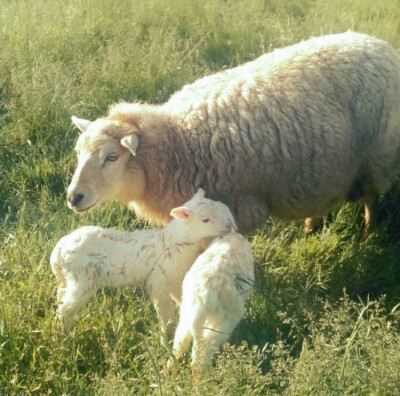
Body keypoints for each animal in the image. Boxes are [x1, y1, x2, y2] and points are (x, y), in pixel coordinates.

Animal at [50, 189, 238, 338]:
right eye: (206, 220)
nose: (229, 227)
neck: (175, 242)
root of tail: (57, 252)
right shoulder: (159, 282)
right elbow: (166, 314)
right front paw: (167, 338)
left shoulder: (175, 280)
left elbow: (181, 299)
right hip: (83, 278)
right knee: (65, 310)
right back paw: (64, 338)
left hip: (71, 278)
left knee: (61, 294)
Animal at [67, 32, 400, 235]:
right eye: (79, 153)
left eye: (112, 157)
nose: (73, 197)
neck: (178, 141)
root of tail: (375, 42)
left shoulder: (238, 209)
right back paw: (310, 227)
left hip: (378, 157)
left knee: (371, 199)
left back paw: (369, 233)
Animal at [170, 230, 255, 376]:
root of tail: (202, 300)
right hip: (222, 325)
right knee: (201, 357)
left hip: (187, 314)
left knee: (180, 342)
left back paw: (168, 371)